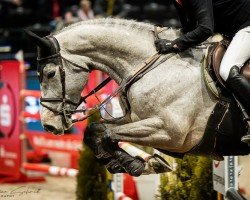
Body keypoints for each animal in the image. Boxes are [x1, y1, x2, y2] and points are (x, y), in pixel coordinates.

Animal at [26, 18, 221, 176]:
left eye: (50, 73)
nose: (48, 125)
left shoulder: (170, 133)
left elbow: (109, 135)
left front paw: (137, 164)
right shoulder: (133, 118)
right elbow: (95, 130)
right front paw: (125, 163)